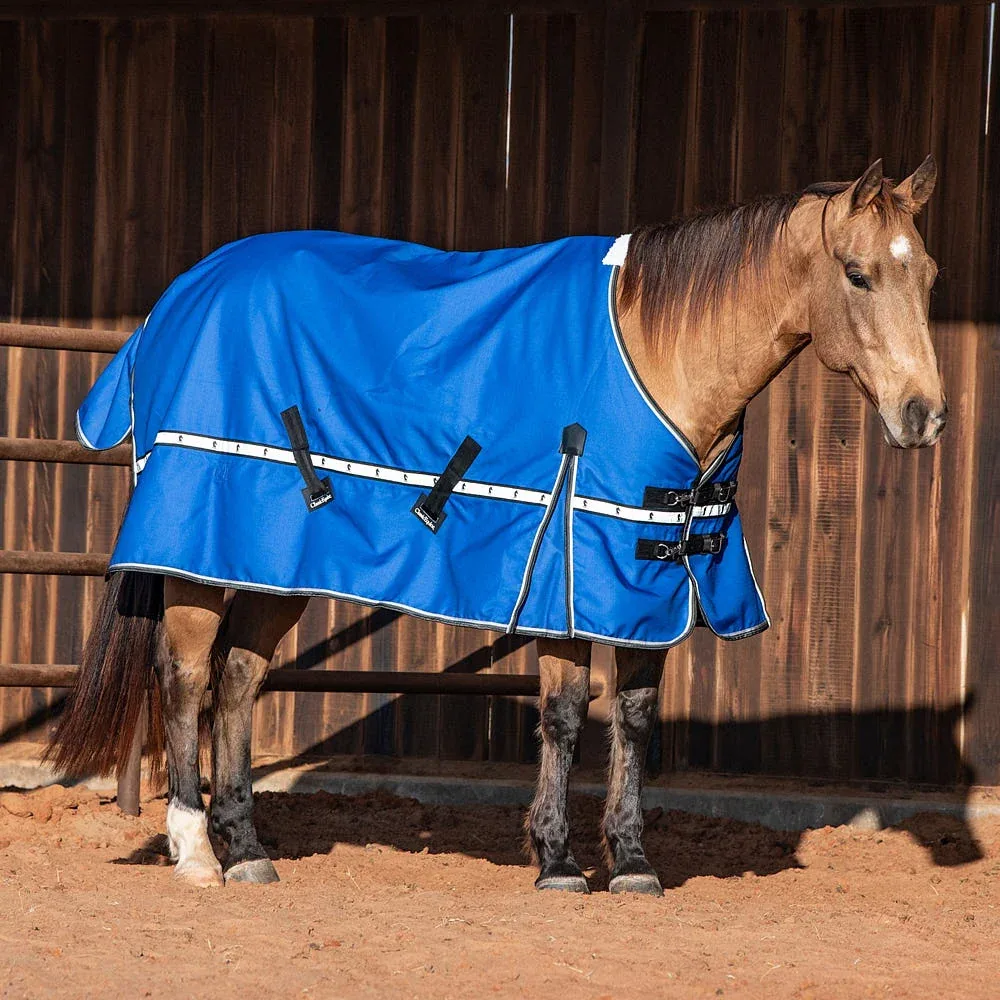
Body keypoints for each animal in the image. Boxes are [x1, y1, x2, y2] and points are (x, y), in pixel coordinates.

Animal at [49, 156, 945, 893]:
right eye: (859, 274)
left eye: (929, 276)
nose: (925, 416)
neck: (661, 353)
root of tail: (178, 298)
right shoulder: (573, 569)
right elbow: (565, 713)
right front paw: (557, 861)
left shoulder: (652, 576)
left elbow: (633, 719)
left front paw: (632, 862)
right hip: (201, 548)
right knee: (186, 677)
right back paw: (197, 851)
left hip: (277, 560)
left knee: (238, 679)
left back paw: (249, 852)